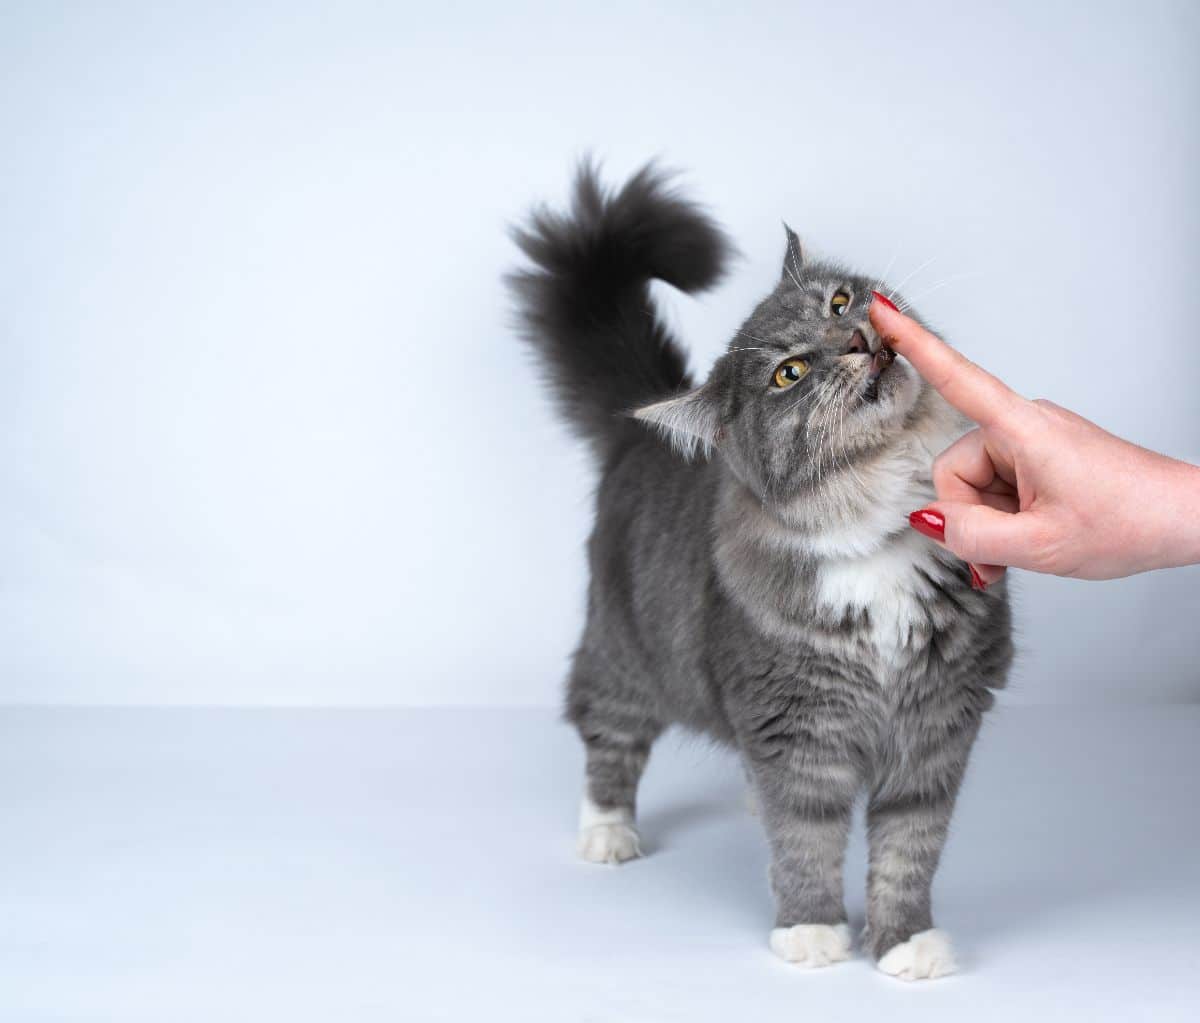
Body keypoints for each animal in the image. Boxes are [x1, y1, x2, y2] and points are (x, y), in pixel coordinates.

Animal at [506, 163, 1012, 979]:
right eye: (790, 373)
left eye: (837, 302)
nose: (855, 338)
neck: (883, 533)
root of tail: (633, 435)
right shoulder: (797, 726)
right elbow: (806, 840)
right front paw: (811, 930)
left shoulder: (935, 726)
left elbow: (908, 849)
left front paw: (906, 941)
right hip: (621, 651)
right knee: (605, 733)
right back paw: (607, 832)